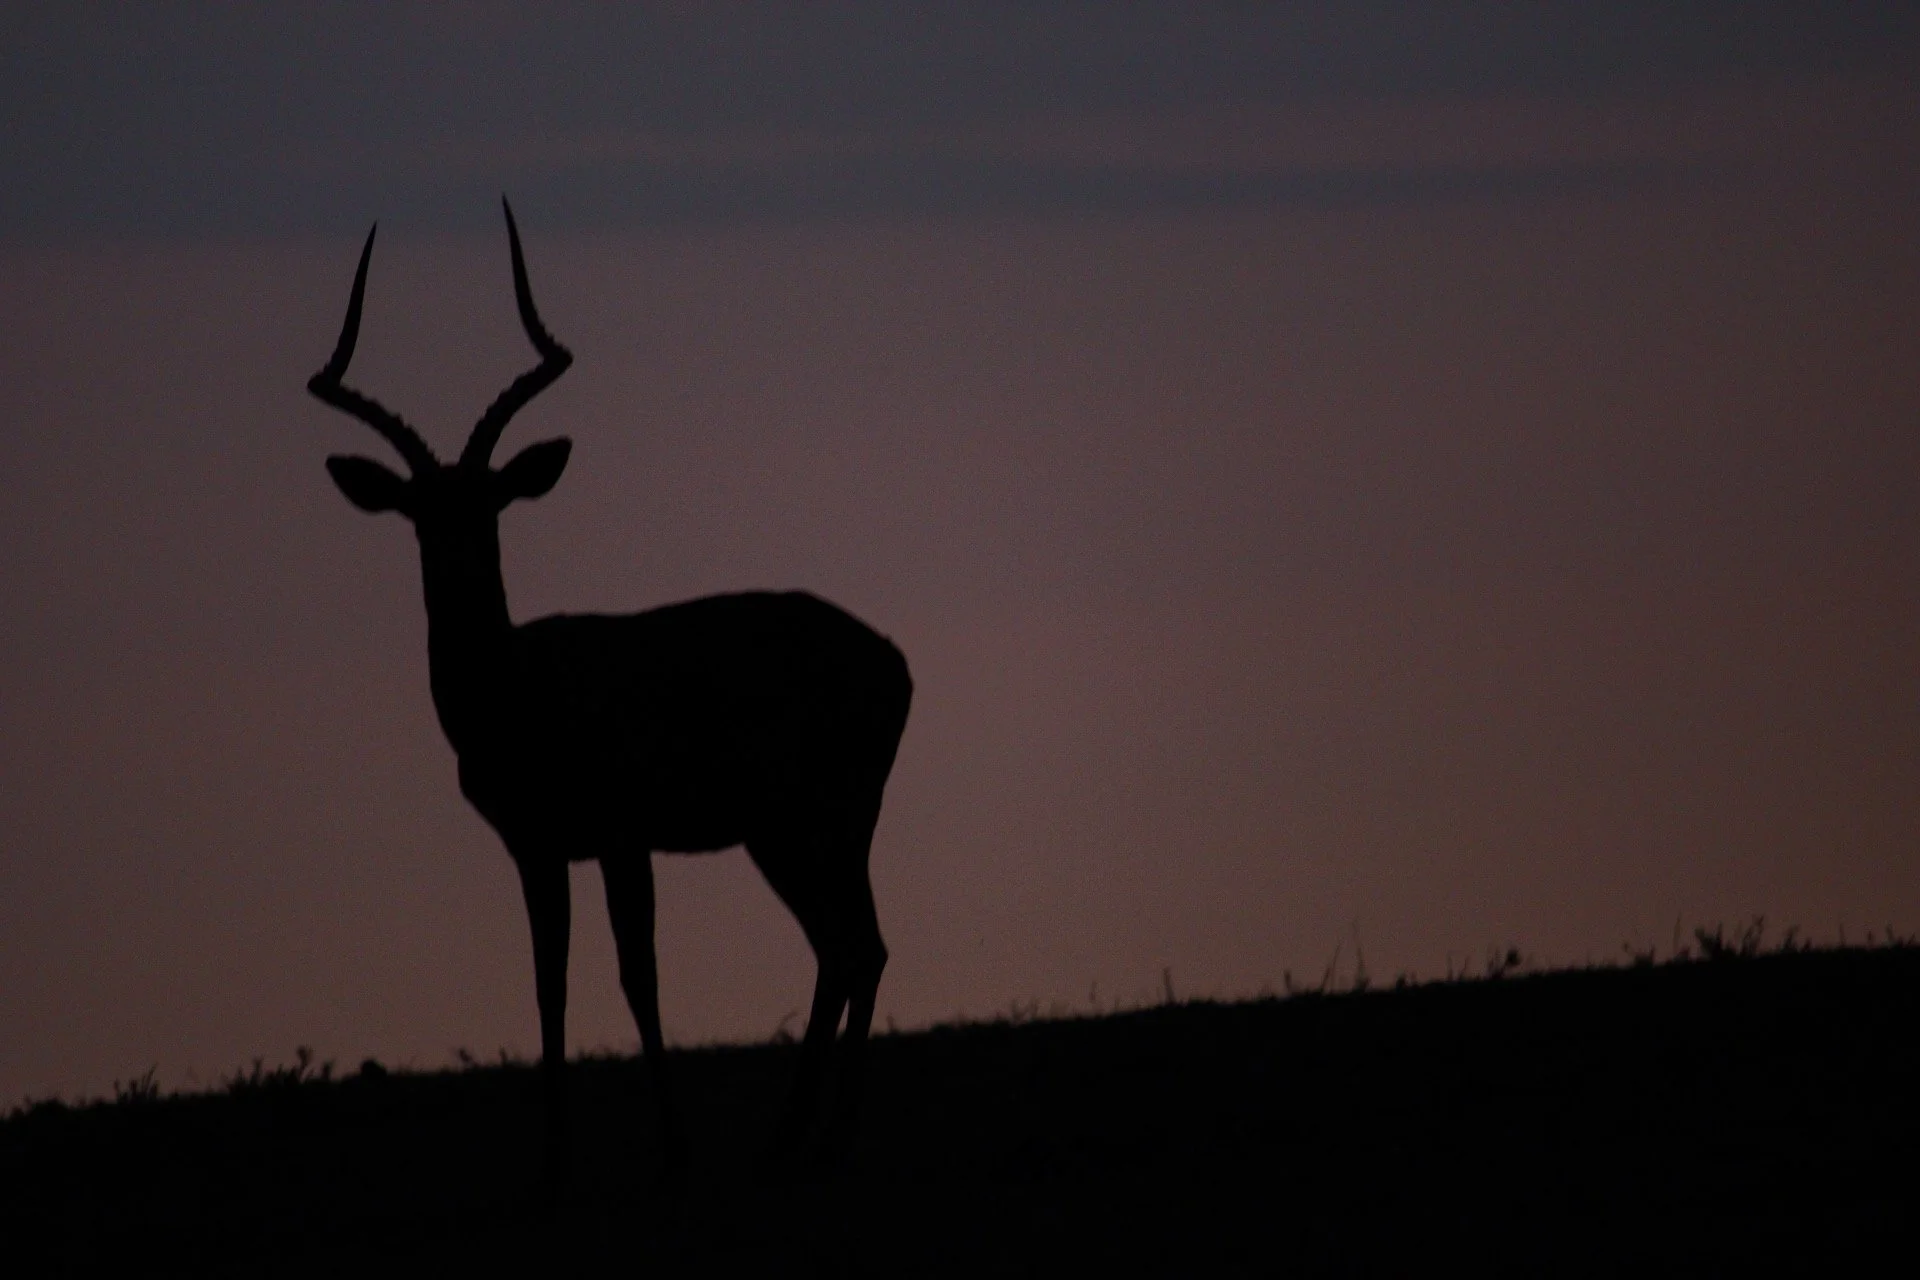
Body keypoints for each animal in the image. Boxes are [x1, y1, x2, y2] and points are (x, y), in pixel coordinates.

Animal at [306, 199, 912, 1179]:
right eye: (420, 514)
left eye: (491, 505)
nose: (462, 573)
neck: (519, 695)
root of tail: (893, 659)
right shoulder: (538, 848)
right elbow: (548, 982)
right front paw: (553, 1156)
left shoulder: (625, 836)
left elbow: (639, 976)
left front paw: (674, 1147)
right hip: (793, 832)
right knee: (847, 946)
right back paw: (793, 1138)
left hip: (816, 820)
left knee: (857, 945)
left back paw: (825, 1140)